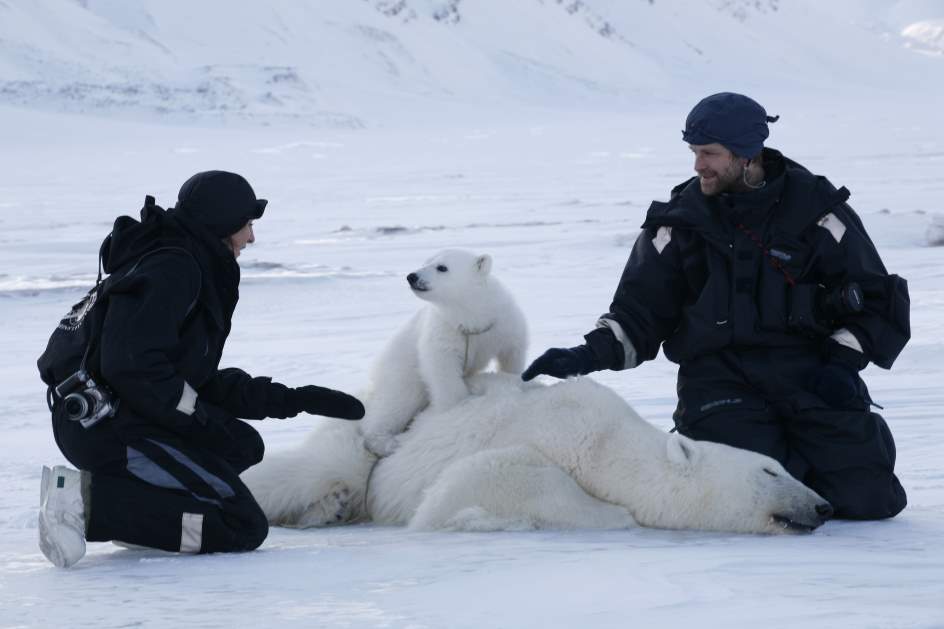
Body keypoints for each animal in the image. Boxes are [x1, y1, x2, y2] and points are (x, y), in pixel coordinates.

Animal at [243, 372, 832, 536]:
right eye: (770, 468)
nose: (824, 506)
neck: (606, 444)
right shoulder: (547, 436)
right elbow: (502, 472)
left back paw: (329, 511)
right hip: (360, 443)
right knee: (309, 471)